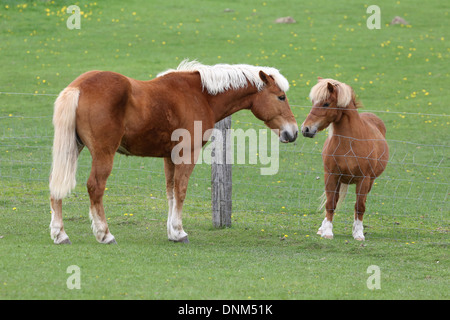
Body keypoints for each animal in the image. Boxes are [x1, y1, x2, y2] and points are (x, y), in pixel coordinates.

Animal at [48, 60, 298, 244]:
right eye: (281, 97)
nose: (294, 132)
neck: (200, 95)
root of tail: (78, 87)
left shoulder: (169, 157)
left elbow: (170, 192)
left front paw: (171, 232)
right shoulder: (188, 154)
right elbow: (181, 191)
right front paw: (179, 232)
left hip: (71, 148)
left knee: (56, 185)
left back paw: (60, 234)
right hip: (103, 154)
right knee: (95, 187)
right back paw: (104, 234)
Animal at [300, 78, 388, 240]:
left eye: (326, 103)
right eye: (313, 102)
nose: (306, 129)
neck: (350, 143)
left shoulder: (364, 179)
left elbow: (360, 206)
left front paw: (358, 233)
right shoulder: (331, 176)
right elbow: (330, 203)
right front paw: (327, 231)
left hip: (369, 182)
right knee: (333, 200)